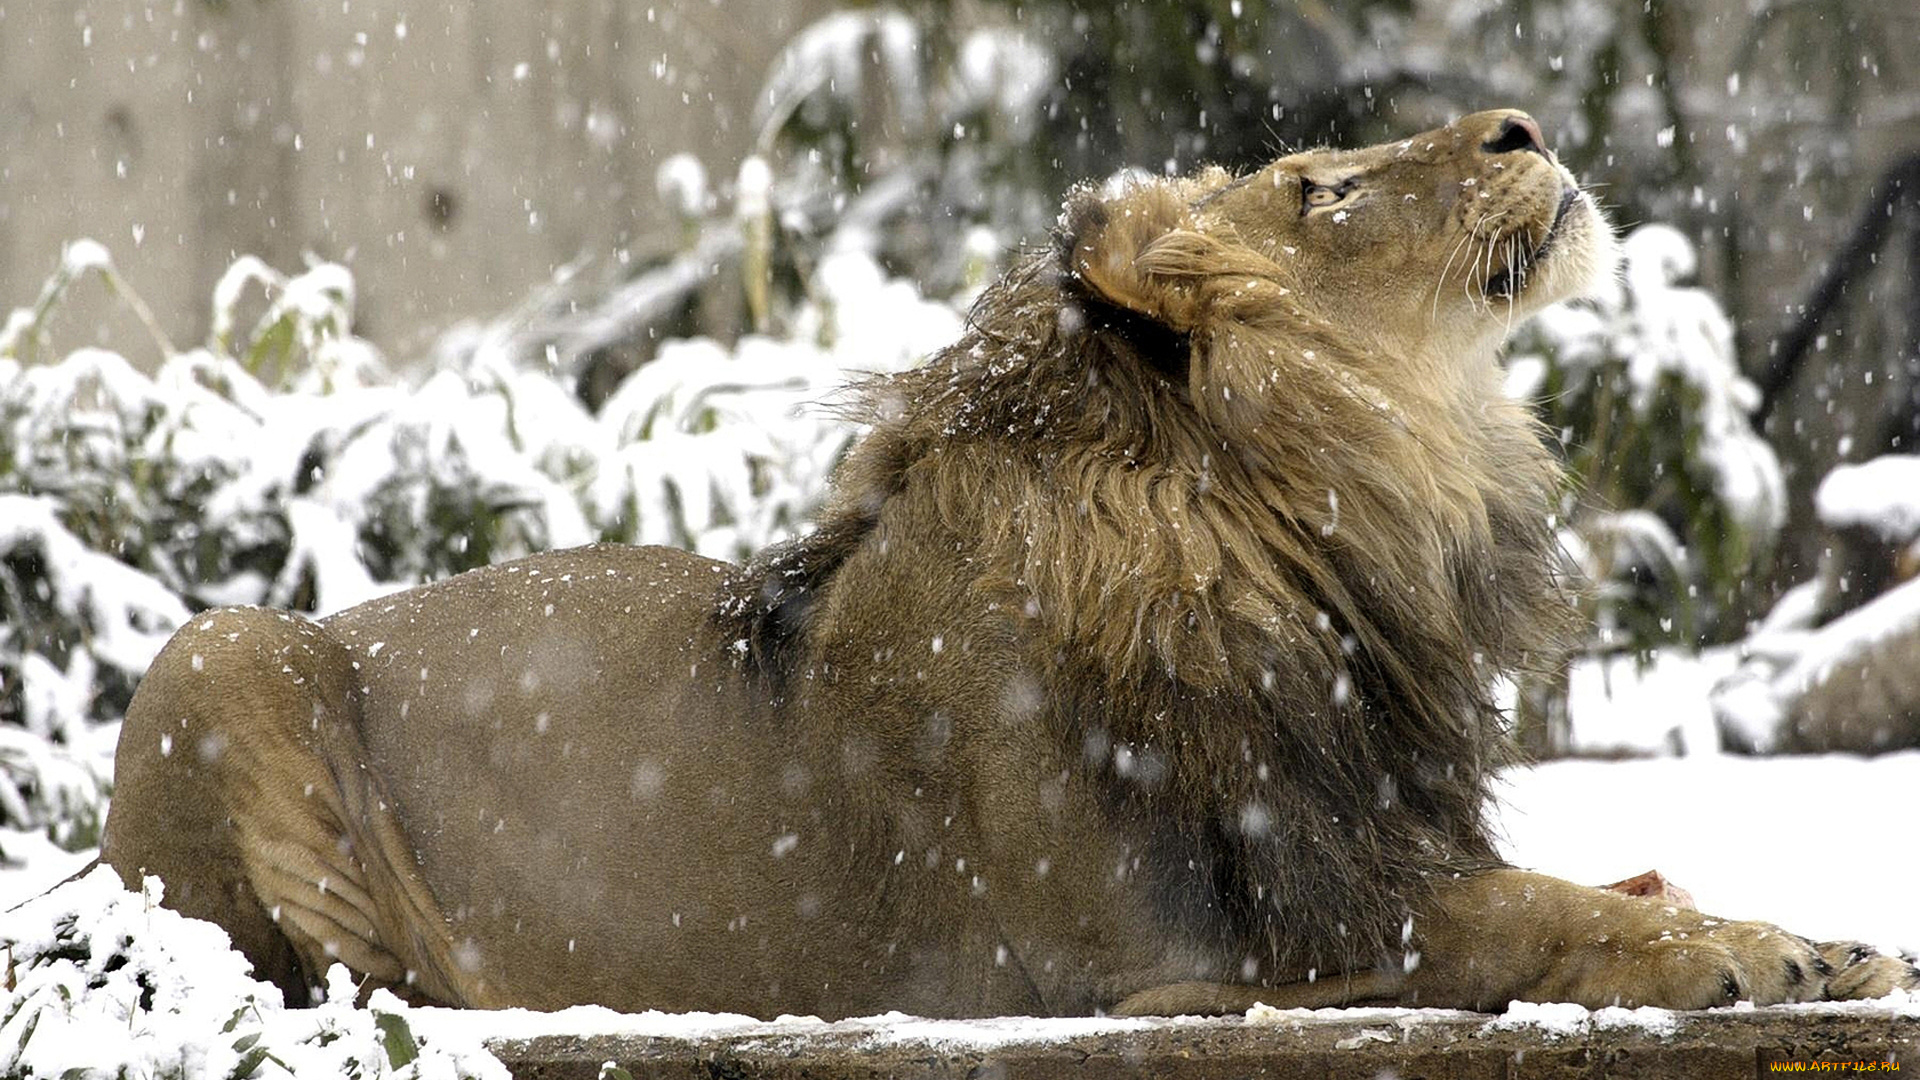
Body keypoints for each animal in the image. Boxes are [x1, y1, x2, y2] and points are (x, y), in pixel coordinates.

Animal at [101, 113, 1920, 1014]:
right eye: (1319, 185)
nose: (1524, 119)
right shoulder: (1188, 953)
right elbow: (1540, 922)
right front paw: (1760, 954)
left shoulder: (1356, 840)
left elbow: (1604, 883)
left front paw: (1805, 935)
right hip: (226, 648)